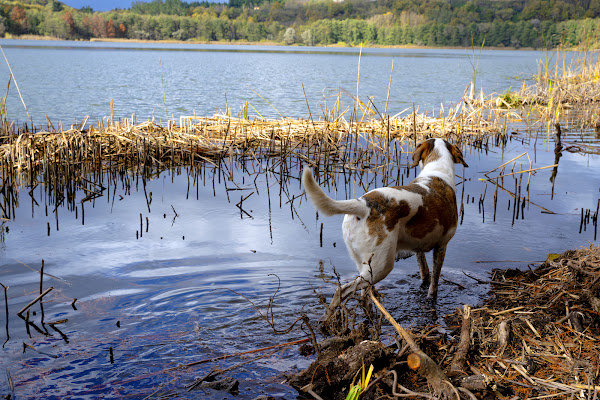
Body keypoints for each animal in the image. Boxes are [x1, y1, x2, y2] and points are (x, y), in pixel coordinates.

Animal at [302, 139, 466, 318]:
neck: (438, 169)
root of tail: (363, 205)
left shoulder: (418, 250)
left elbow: (425, 273)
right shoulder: (442, 246)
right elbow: (434, 283)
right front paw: (431, 300)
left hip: (366, 266)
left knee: (364, 297)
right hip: (382, 266)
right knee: (342, 291)